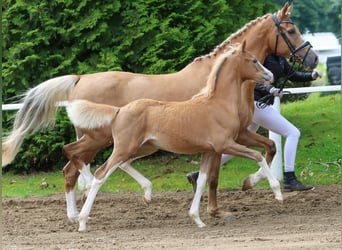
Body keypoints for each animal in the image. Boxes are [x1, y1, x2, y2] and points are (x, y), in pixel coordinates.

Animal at [67, 41, 280, 232]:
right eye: (254, 60)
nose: (270, 76)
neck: (219, 103)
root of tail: (119, 110)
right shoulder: (226, 144)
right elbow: (258, 156)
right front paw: (277, 192)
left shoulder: (209, 151)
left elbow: (202, 181)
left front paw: (197, 219)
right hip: (124, 147)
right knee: (100, 174)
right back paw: (82, 221)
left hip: (144, 147)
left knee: (121, 165)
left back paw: (146, 194)